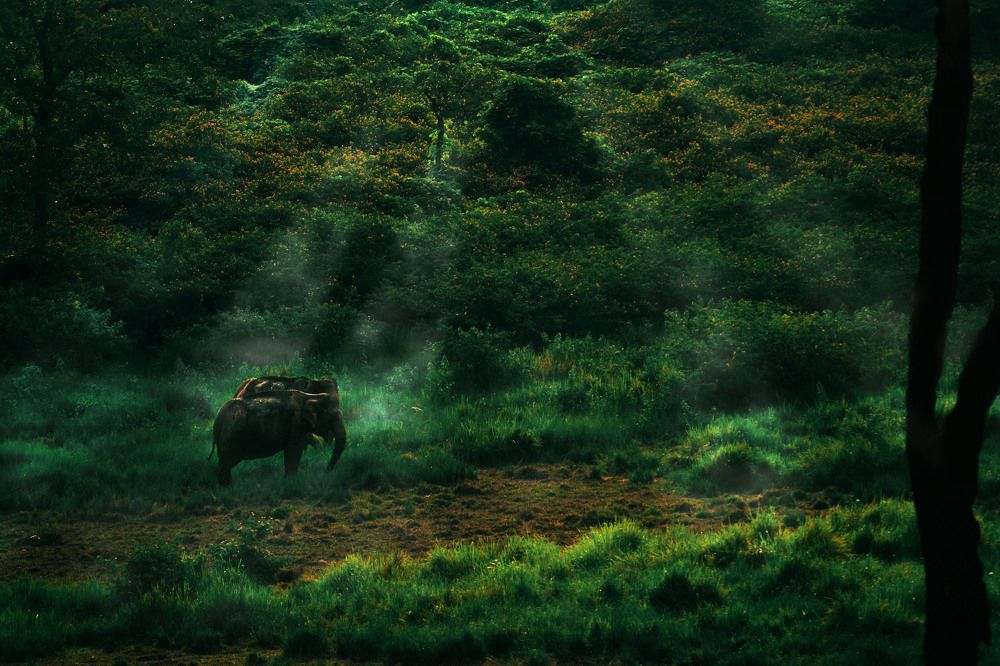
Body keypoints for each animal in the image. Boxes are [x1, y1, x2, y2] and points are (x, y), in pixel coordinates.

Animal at [208, 389, 346, 485]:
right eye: (332, 417)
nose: (326, 471)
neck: (311, 396)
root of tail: (218, 417)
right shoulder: (296, 423)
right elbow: (294, 450)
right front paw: (290, 481)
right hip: (230, 436)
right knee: (226, 462)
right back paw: (226, 487)